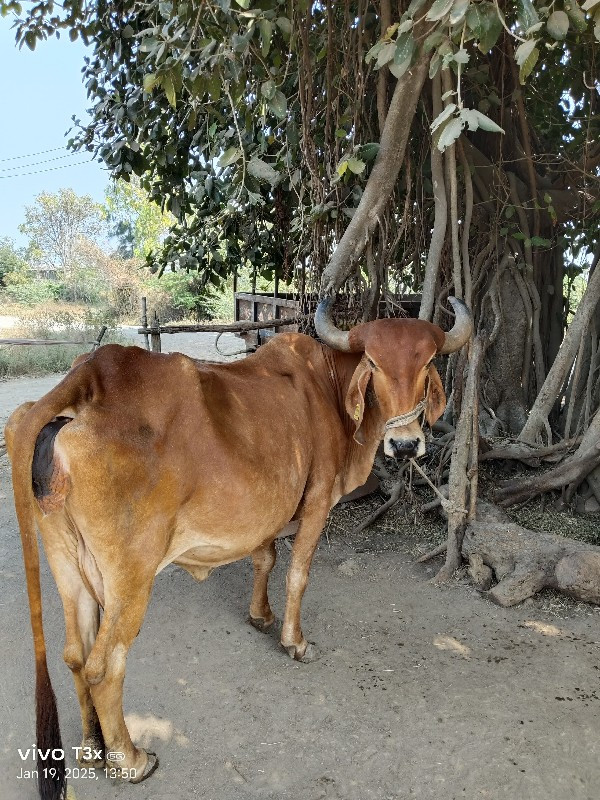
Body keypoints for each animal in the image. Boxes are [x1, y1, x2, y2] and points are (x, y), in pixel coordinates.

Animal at [5, 296, 474, 800]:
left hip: (67, 563)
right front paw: (295, 641)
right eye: (374, 363)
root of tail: (88, 375)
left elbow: (265, 559)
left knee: (75, 655)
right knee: (104, 666)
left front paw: (260, 616)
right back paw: (129, 760)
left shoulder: (268, 512)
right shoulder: (316, 503)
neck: (328, 383)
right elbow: (297, 575)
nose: (406, 444)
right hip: (130, 576)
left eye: (426, 363)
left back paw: (93, 746)